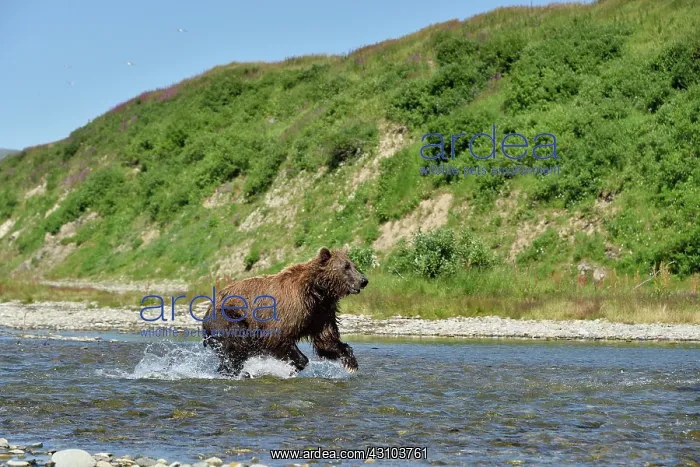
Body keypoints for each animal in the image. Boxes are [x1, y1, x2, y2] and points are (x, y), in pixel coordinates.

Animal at [202, 246, 368, 377]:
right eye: (345, 267)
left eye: (354, 265)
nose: (363, 280)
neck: (317, 291)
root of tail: (208, 308)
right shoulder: (290, 310)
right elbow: (279, 337)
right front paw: (295, 365)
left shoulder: (321, 313)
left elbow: (326, 340)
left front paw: (351, 362)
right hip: (229, 316)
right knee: (238, 344)